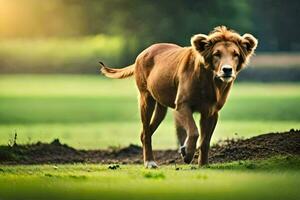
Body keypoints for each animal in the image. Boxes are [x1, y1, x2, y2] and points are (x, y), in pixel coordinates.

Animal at [100, 25, 258, 168]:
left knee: (146, 132)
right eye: (216, 54)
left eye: (235, 54)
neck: (210, 80)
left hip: (161, 107)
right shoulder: (182, 105)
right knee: (146, 132)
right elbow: (194, 132)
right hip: (146, 99)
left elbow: (205, 140)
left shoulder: (211, 112)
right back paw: (149, 162)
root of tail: (143, 52)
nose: (227, 70)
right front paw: (187, 153)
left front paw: (203, 164)